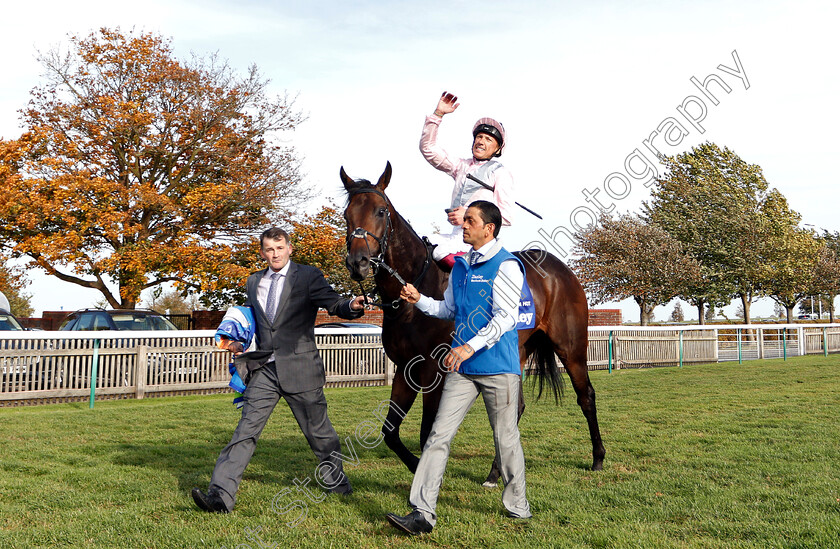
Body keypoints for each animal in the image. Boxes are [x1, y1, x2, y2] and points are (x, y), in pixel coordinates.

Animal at [342, 162, 604, 480]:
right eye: (347, 215)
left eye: (381, 211)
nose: (358, 262)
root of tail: (562, 270)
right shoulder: (406, 369)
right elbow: (390, 433)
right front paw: (417, 467)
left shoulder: (434, 370)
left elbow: (427, 431)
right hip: (515, 351)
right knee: (513, 409)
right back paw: (495, 473)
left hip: (571, 347)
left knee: (586, 396)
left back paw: (598, 458)